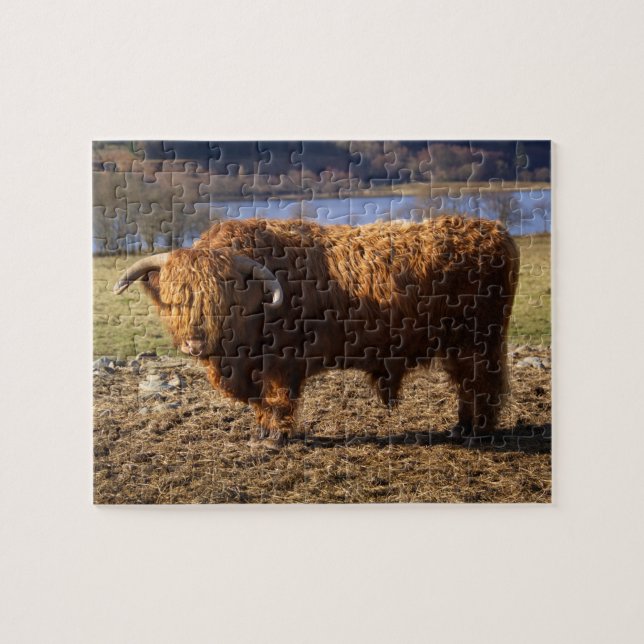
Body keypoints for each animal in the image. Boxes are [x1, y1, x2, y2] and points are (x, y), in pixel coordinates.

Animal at [114, 216, 519, 448]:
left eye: (224, 300)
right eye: (176, 300)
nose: (195, 343)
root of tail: (493, 229)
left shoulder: (282, 363)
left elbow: (278, 399)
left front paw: (276, 438)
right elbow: (260, 403)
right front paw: (261, 433)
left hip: (480, 340)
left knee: (483, 384)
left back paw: (478, 433)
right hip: (458, 344)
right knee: (465, 385)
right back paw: (460, 428)